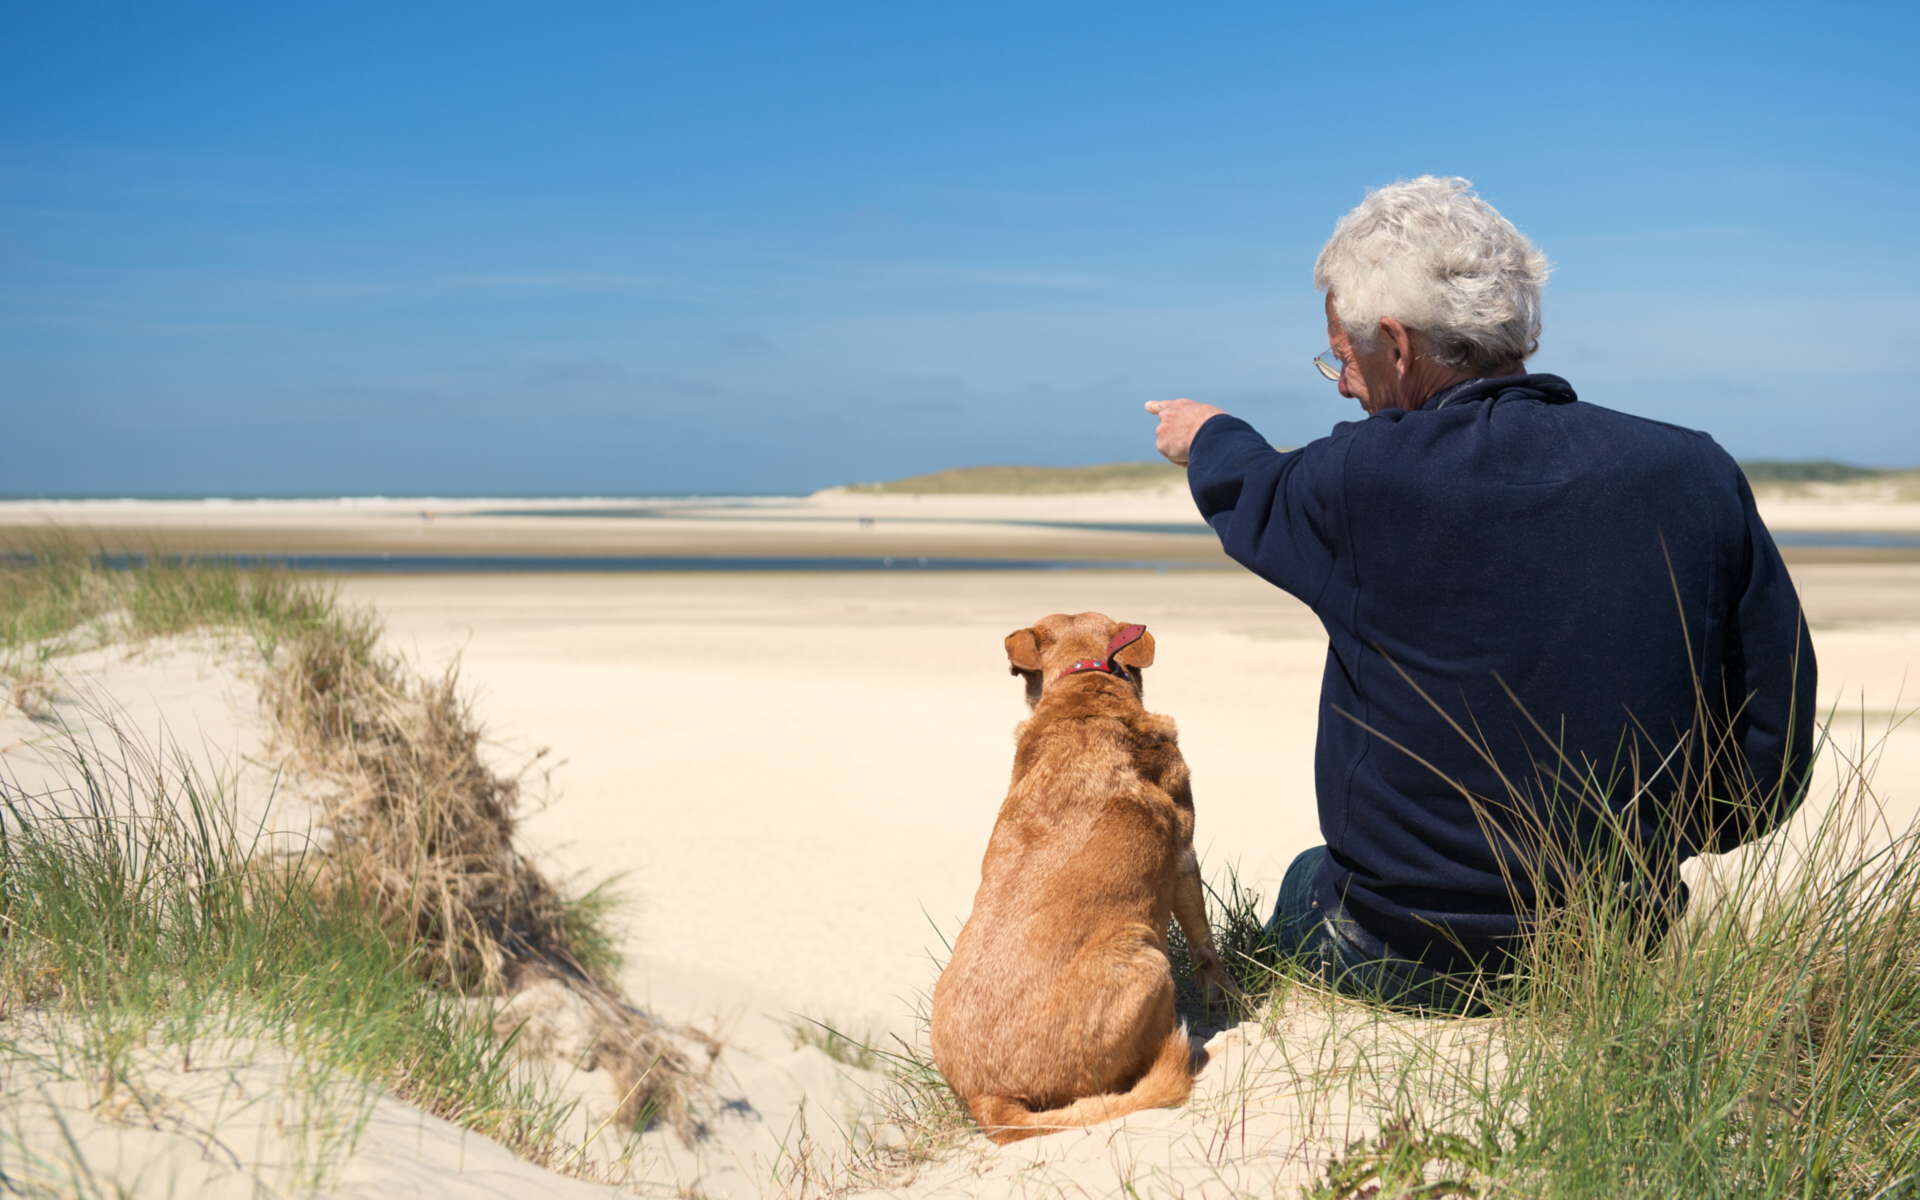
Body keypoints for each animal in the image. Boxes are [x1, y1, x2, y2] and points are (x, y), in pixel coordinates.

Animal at [933, 606, 1236, 1144]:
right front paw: (1228, 1001)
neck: (1084, 684)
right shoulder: (1185, 854)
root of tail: (986, 1098)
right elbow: (1206, 950)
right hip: (1146, 957)